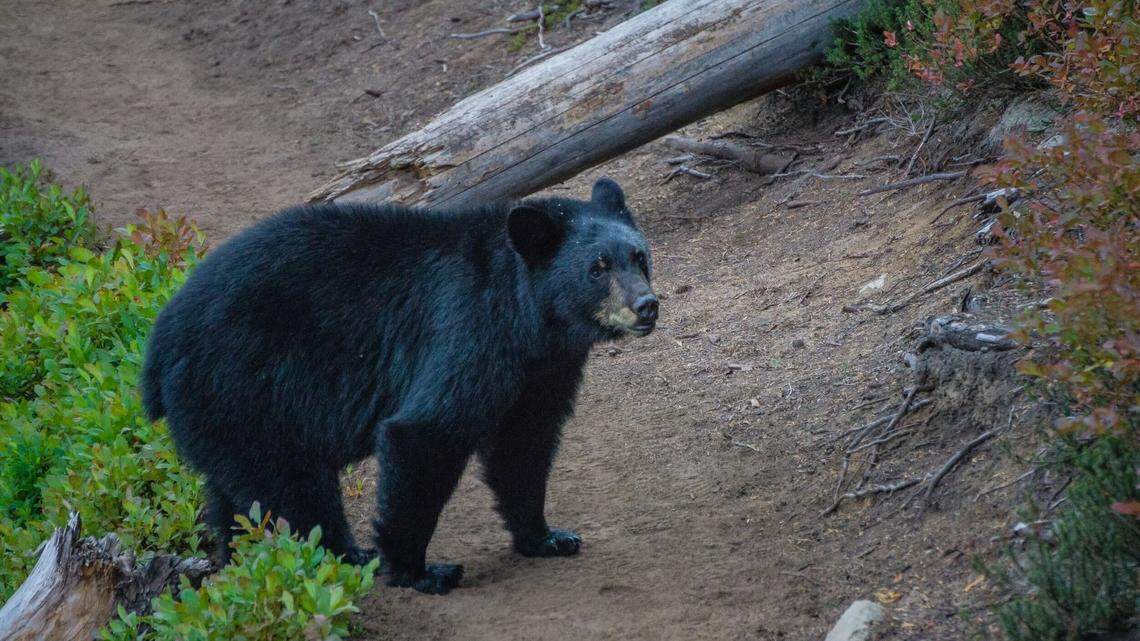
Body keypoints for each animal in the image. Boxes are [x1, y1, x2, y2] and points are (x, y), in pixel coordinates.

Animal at [141, 178, 658, 594]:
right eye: (597, 268)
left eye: (640, 257)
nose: (646, 305)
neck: (529, 322)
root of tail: (157, 347)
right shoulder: (467, 332)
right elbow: (425, 432)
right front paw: (420, 570)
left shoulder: (544, 370)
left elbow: (524, 443)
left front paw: (547, 536)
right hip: (246, 387)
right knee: (292, 488)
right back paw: (347, 556)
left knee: (237, 498)